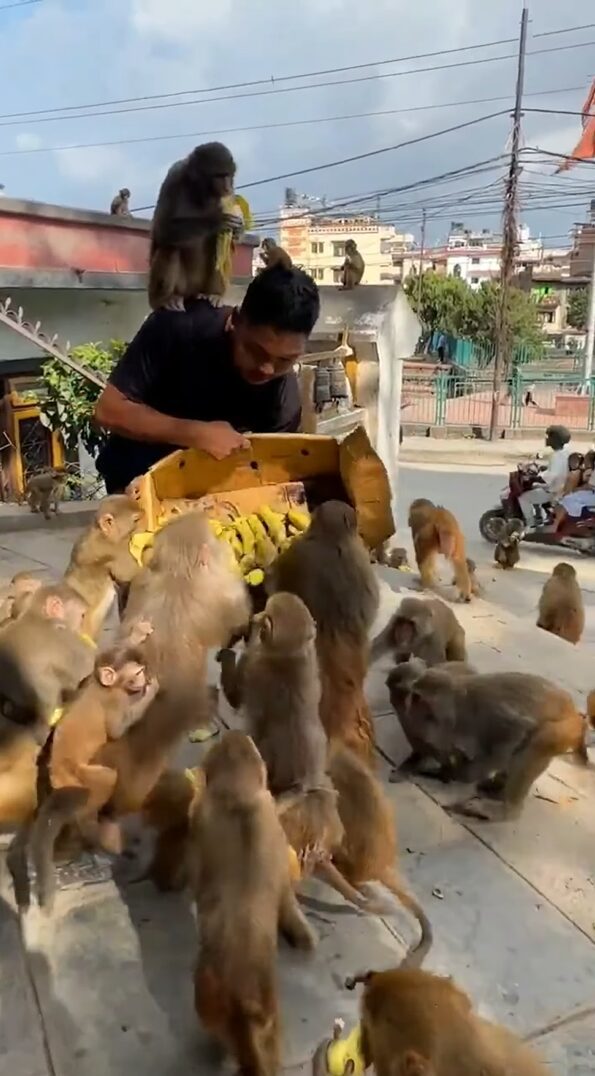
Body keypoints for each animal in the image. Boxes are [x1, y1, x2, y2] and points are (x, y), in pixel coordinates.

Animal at [148, 142, 243, 312]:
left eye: (228, 175)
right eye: (219, 175)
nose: (227, 186)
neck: (199, 191)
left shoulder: (229, 196)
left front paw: (238, 229)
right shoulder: (173, 177)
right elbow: (162, 229)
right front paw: (217, 221)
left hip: (201, 286)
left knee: (220, 247)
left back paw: (214, 294)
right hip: (181, 287)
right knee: (169, 247)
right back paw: (163, 299)